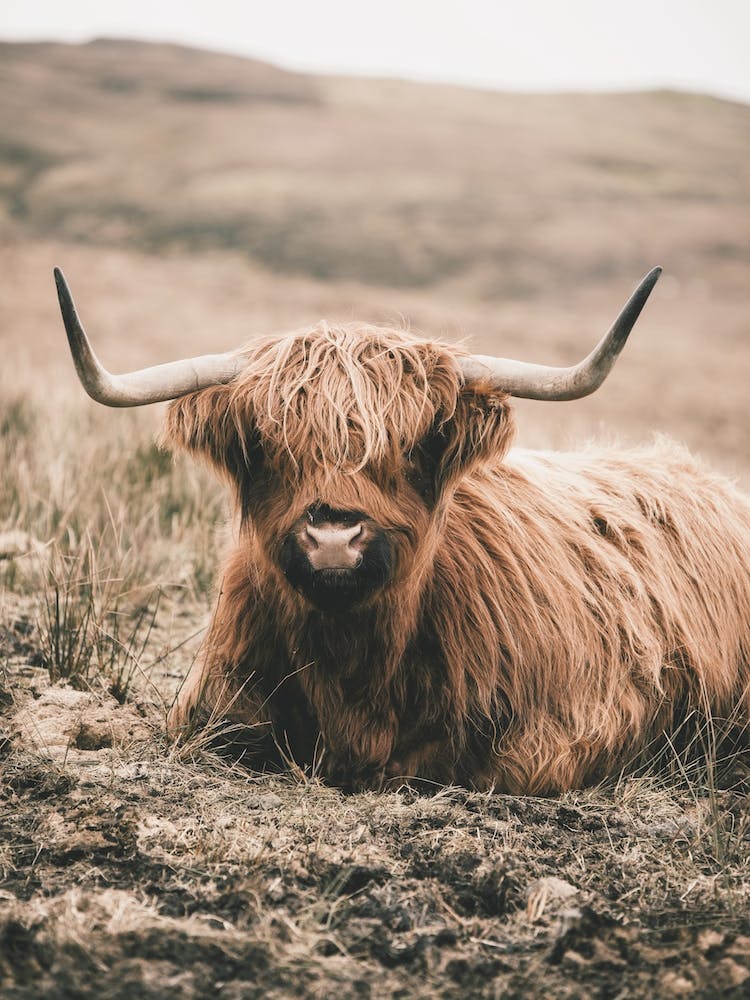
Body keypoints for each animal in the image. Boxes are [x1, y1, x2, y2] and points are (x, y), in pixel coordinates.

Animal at [54, 267, 750, 792]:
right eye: (272, 447)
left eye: (411, 446)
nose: (334, 538)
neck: (351, 668)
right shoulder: (211, 709)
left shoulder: (557, 736)